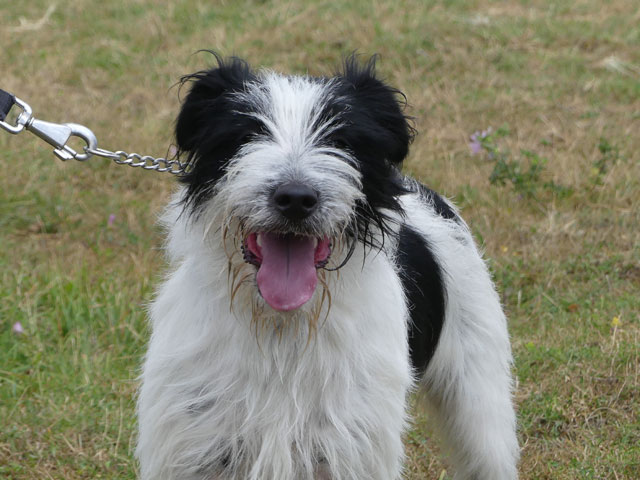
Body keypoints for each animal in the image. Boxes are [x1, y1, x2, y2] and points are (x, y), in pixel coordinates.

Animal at [136, 54, 520, 480]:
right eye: (246, 133)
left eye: (341, 140)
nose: (295, 198)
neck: (281, 327)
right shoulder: (193, 448)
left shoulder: (348, 451)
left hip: (480, 412)